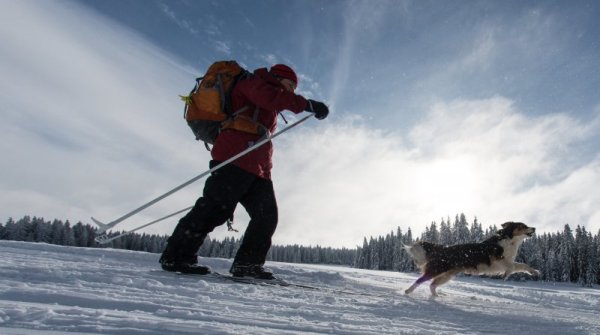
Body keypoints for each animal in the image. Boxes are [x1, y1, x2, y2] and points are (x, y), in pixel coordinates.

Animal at [404, 222, 540, 298]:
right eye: (523, 226)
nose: (534, 228)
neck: (509, 240)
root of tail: (443, 248)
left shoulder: (506, 262)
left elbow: (520, 266)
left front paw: (533, 272)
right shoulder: (499, 262)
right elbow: (515, 266)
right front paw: (508, 274)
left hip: (447, 275)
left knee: (432, 284)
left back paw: (436, 296)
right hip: (437, 270)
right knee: (420, 280)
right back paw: (408, 291)